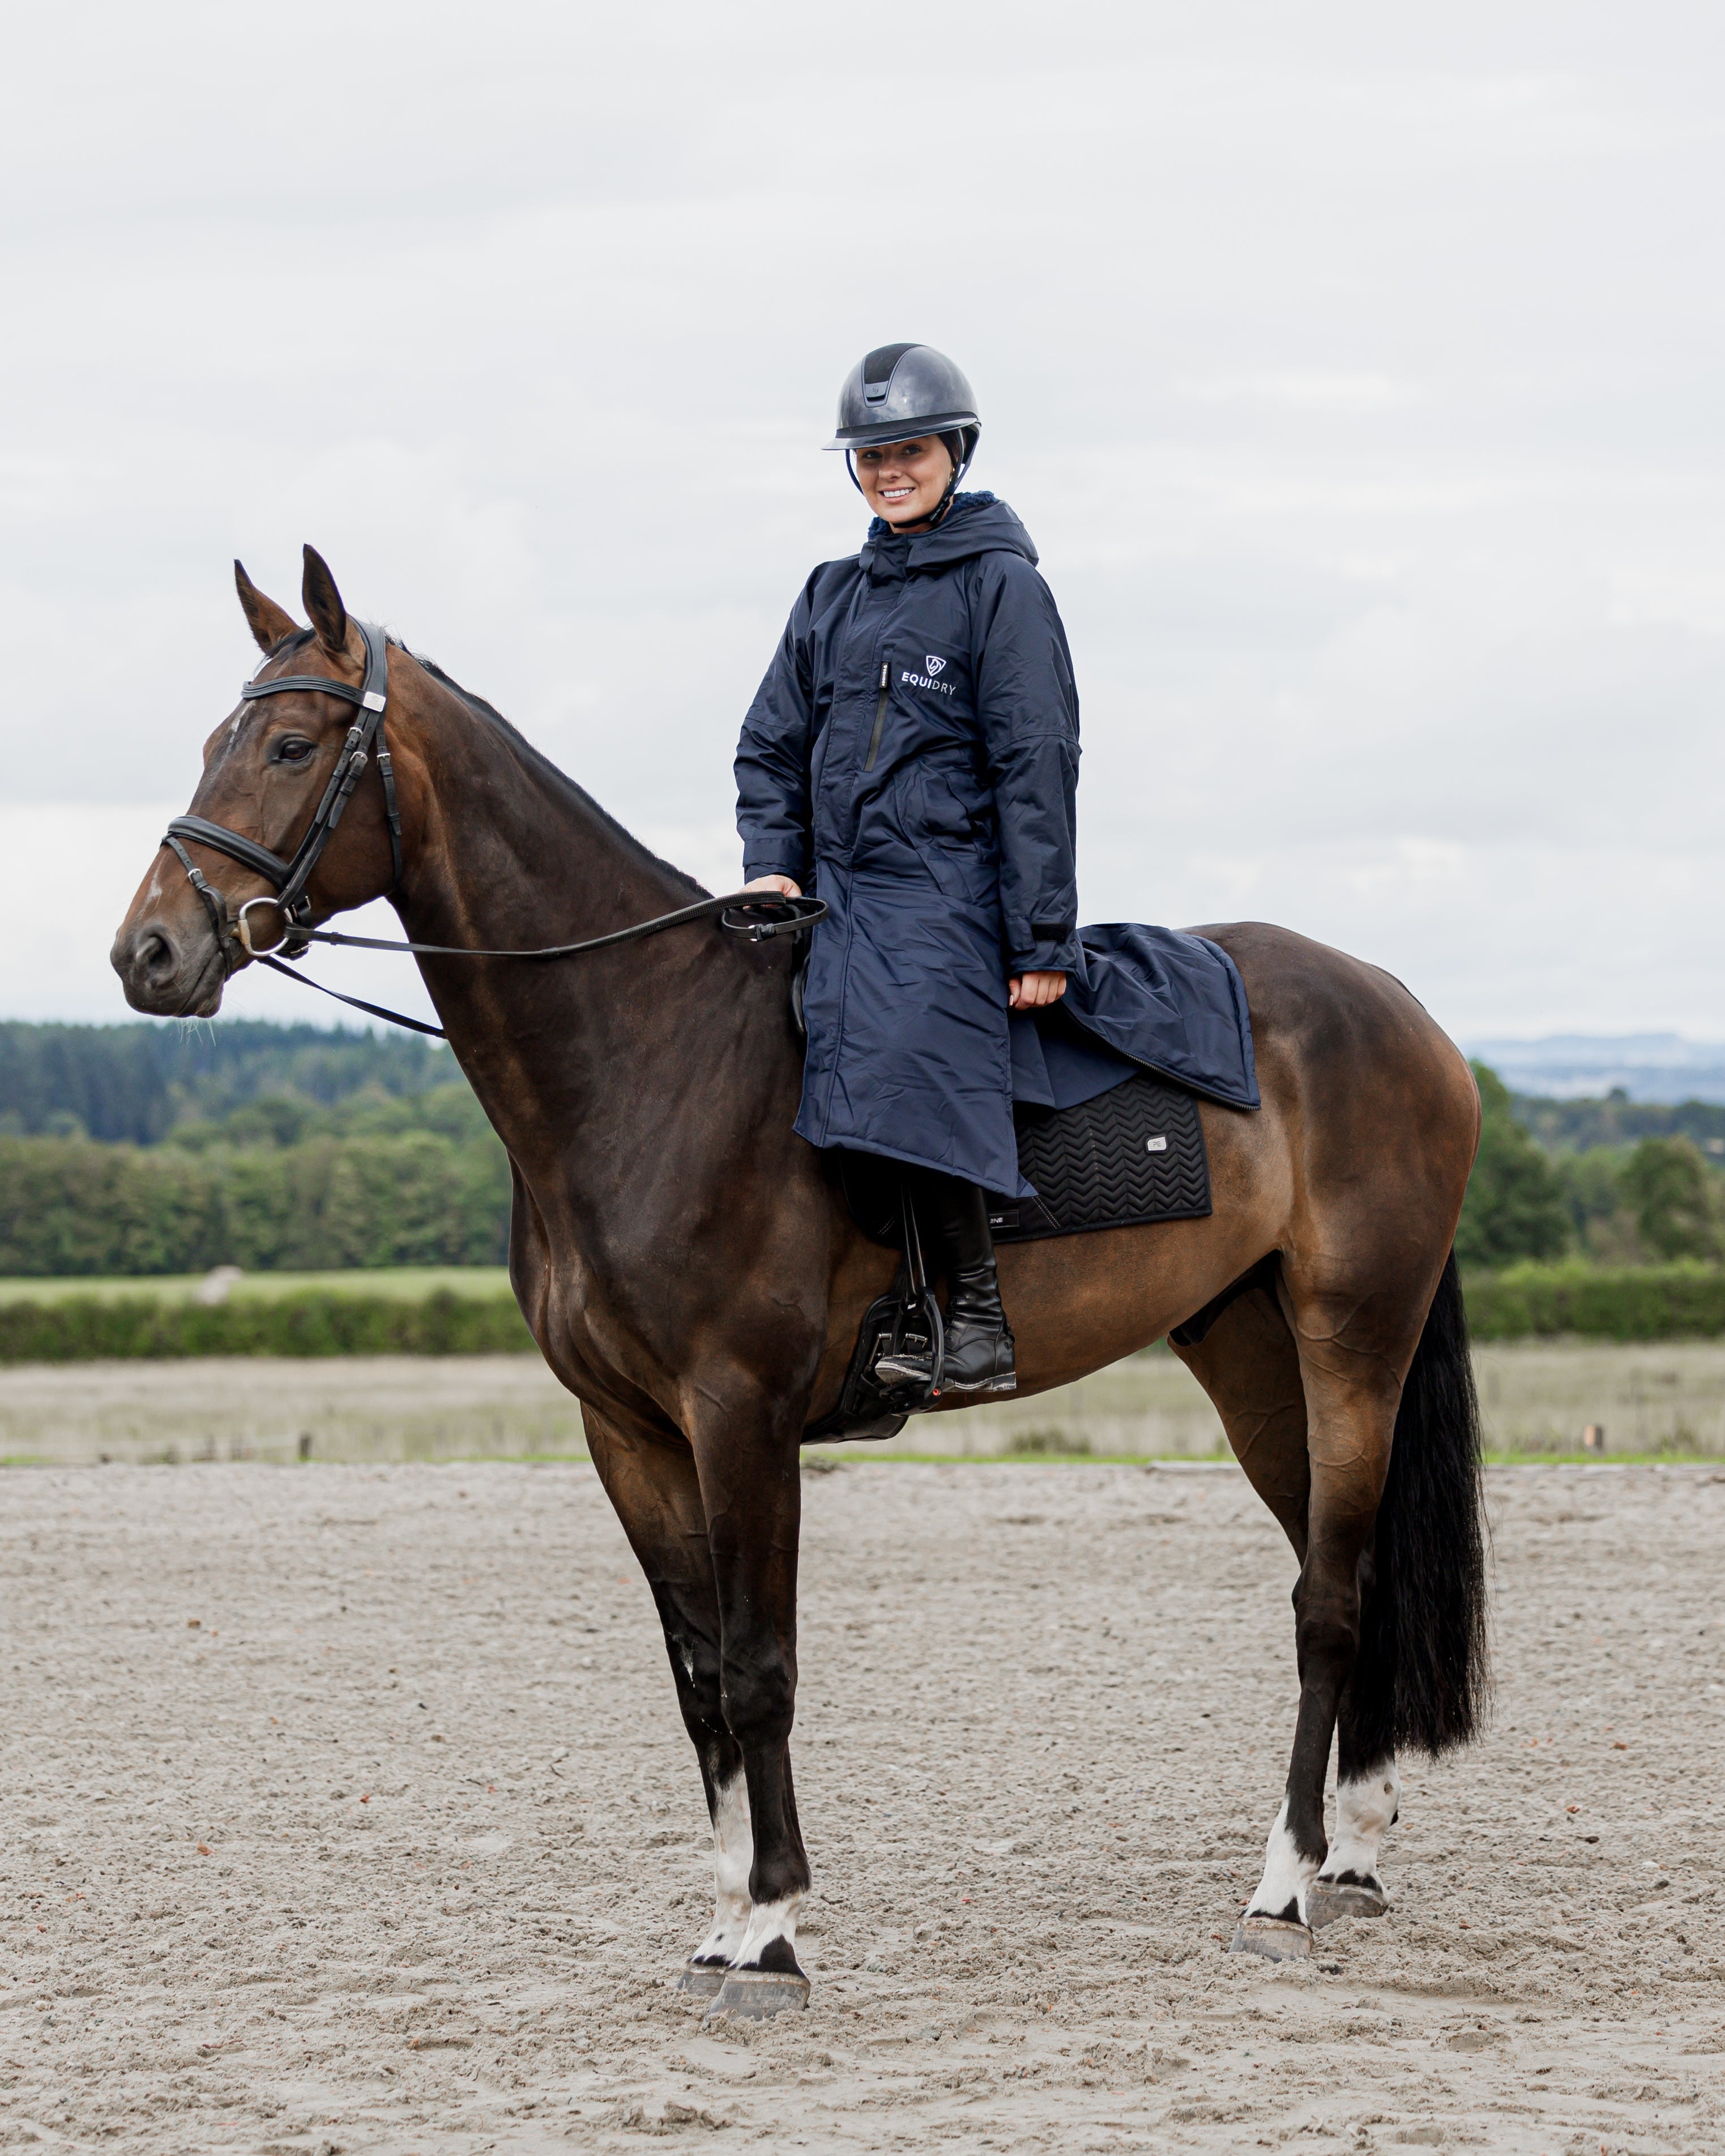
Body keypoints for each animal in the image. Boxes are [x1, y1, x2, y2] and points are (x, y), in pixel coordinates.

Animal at [112, 546, 1488, 2017]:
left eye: (290, 745)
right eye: (212, 743)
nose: (146, 953)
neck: (646, 1047)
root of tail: (1402, 1007)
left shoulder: (741, 1414)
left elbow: (761, 1670)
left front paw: (771, 1932)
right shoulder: (631, 1433)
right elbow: (701, 1676)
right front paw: (722, 1921)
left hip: (1353, 1346)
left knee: (1328, 1603)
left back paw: (1282, 1888)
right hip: (1245, 1354)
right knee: (1340, 1581)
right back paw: (1350, 1852)